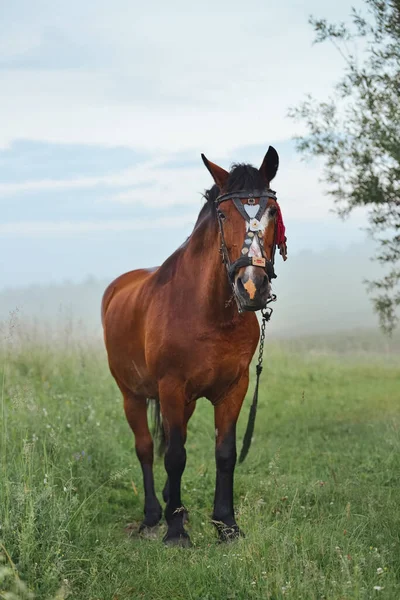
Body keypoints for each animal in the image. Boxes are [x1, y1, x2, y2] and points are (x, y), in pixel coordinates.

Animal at [101, 146, 286, 548]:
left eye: (272, 211)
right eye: (223, 213)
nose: (252, 287)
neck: (208, 312)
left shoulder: (233, 388)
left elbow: (225, 453)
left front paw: (226, 525)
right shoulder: (171, 387)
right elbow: (174, 456)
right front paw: (175, 533)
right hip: (132, 395)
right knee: (147, 448)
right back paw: (154, 515)